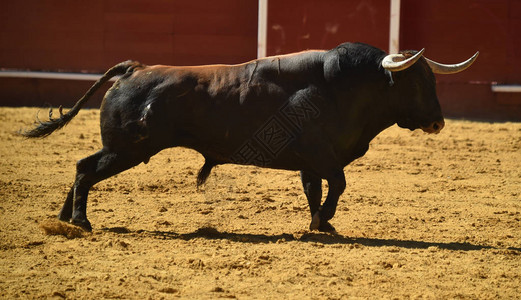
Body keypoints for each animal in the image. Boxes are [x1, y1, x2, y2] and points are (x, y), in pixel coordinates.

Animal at [22, 41, 476, 232]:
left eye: (432, 79)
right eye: (415, 82)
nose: (438, 122)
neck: (343, 87)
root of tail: (136, 68)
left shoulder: (310, 162)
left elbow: (315, 189)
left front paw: (320, 224)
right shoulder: (321, 155)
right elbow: (338, 184)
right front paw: (324, 220)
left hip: (120, 149)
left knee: (82, 165)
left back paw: (65, 219)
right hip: (126, 150)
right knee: (86, 170)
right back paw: (82, 221)